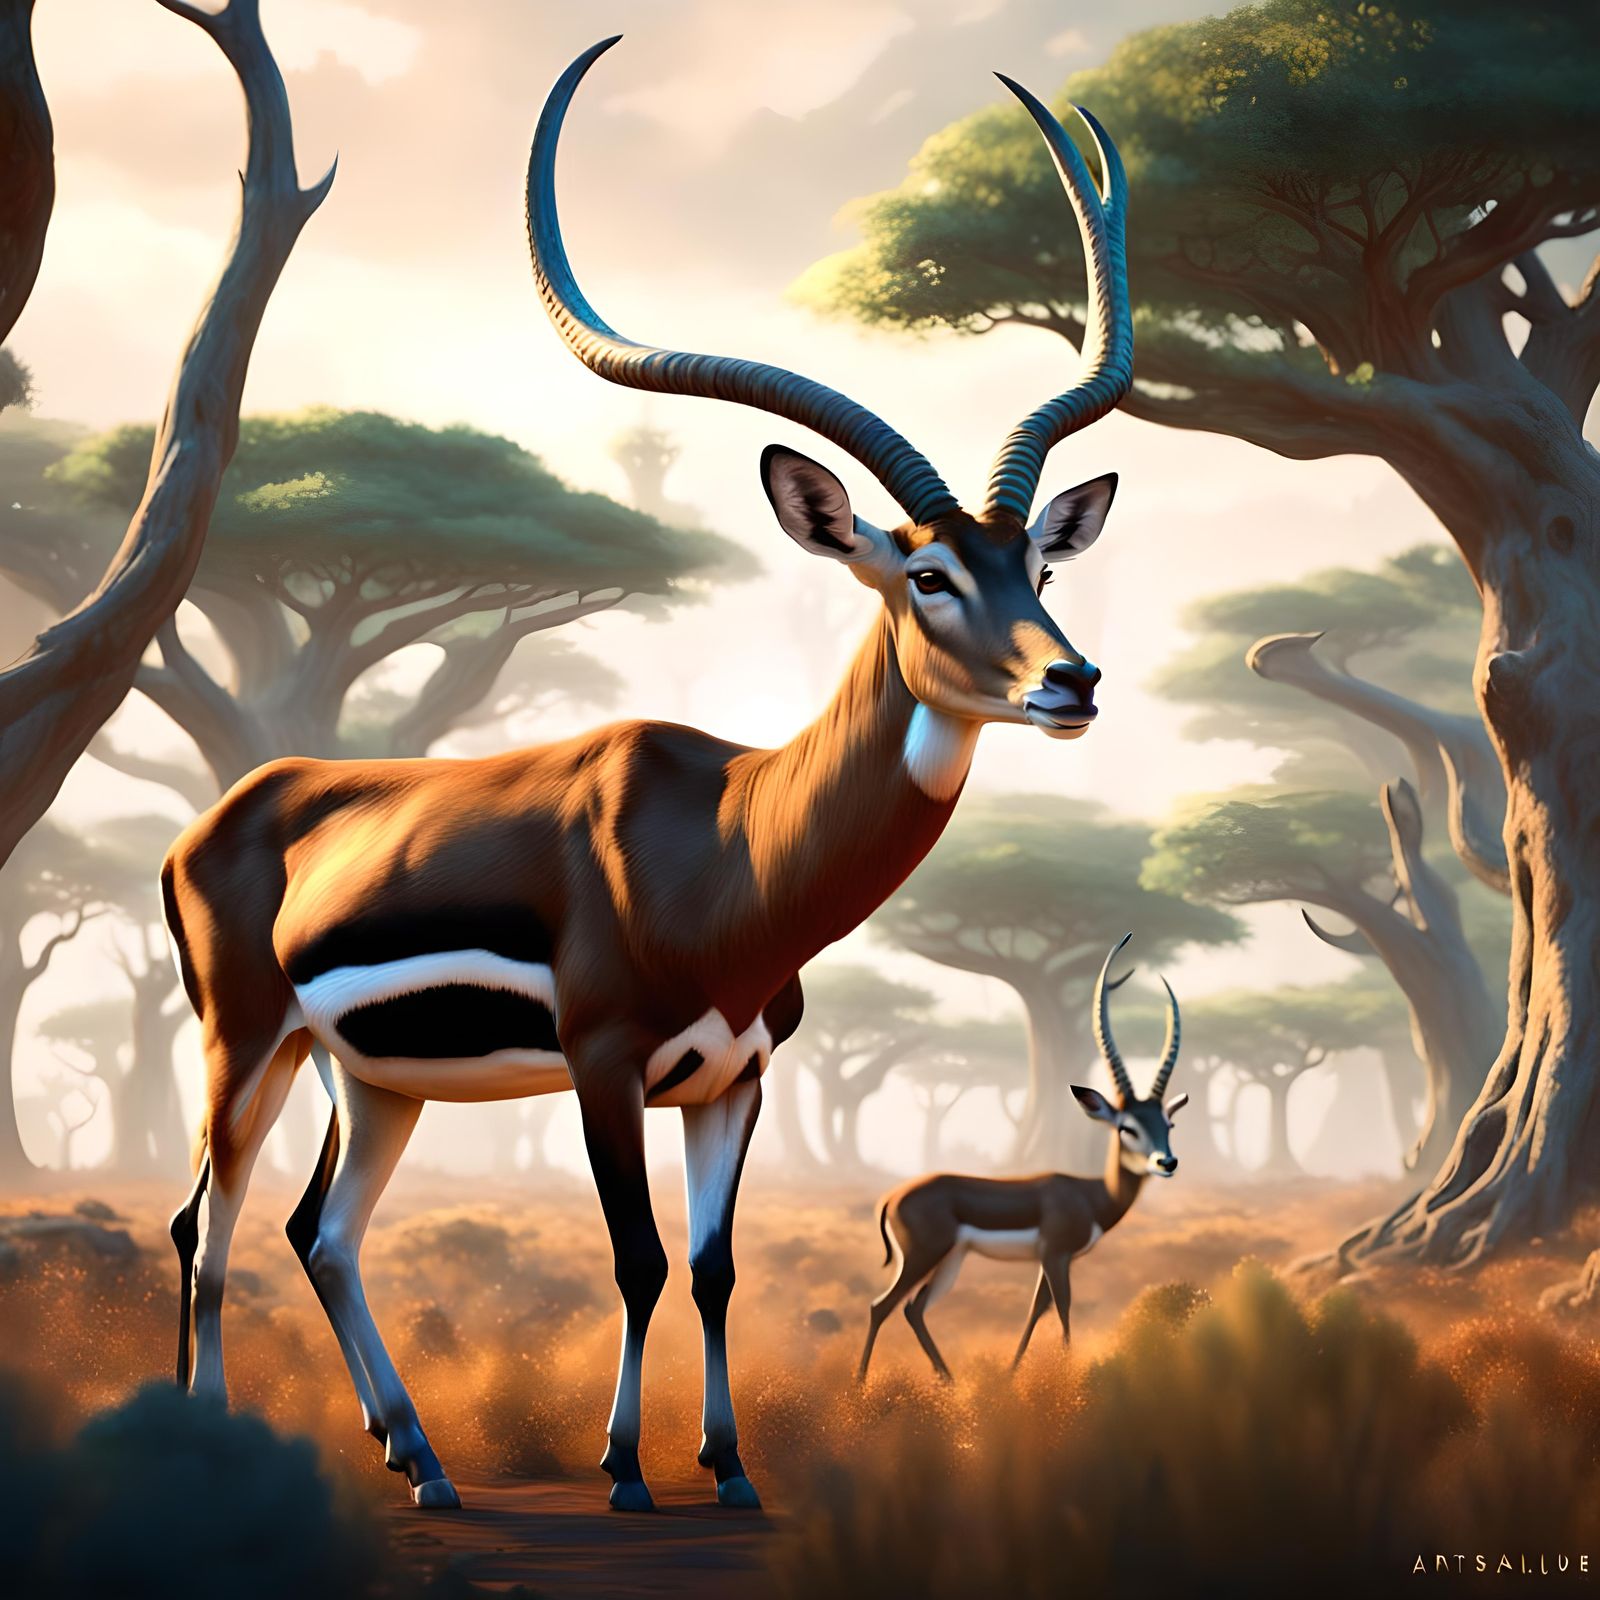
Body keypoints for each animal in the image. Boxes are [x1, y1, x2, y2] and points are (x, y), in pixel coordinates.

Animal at [163, 36, 1133, 1515]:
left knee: (317, 1231)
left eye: (1039, 564)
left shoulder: (733, 1078)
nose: (1067, 683)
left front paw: (728, 1469)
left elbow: (718, 1266)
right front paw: (624, 1470)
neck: (730, 840)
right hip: (247, 1042)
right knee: (205, 1223)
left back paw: (423, 1462)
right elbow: (637, 1256)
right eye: (925, 572)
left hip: (372, 1078)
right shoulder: (606, 1062)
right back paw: (226, 1443)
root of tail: (219, 814)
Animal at [858, 936, 1185, 1382]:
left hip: (951, 1258)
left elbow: (1037, 1309)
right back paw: (860, 1385)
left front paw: (1012, 1375)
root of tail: (891, 1197)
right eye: (1127, 1127)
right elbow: (1060, 1309)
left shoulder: (1050, 1259)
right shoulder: (1057, 1254)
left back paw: (949, 1380)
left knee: (913, 1309)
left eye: (1168, 1124)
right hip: (925, 1255)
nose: (1165, 1163)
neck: (1090, 1195)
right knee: (883, 1306)